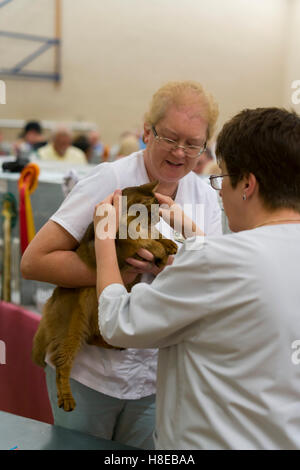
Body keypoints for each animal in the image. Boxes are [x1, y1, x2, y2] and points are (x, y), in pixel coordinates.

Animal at [32, 182, 178, 414]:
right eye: (152, 210)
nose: (159, 217)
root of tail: (49, 303)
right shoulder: (121, 246)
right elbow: (141, 239)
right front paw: (159, 249)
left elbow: (152, 235)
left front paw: (168, 243)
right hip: (72, 326)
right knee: (61, 363)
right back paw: (66, 398)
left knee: (93, 338)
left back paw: (115, 344)